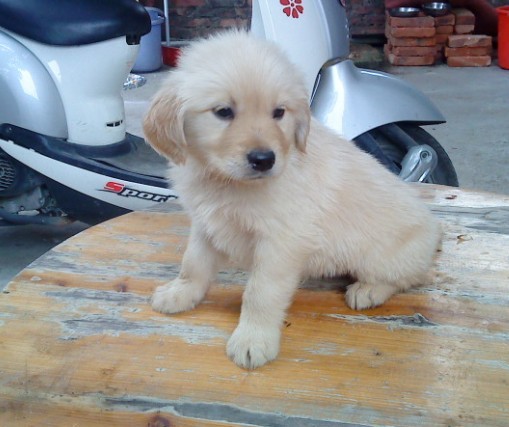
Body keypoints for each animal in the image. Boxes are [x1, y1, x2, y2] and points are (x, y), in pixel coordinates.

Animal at [143, 30, 442, 370]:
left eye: (279, 112)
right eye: (223, 112)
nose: (264, 159)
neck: (225, 181)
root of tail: (435, 233)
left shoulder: (281, 242)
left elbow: (259, 292)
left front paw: (253, 339)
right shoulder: (206, 224)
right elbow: (192, 264)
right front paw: (180, 293)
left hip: (385, 256)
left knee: (407, 277)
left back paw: (369, 290)